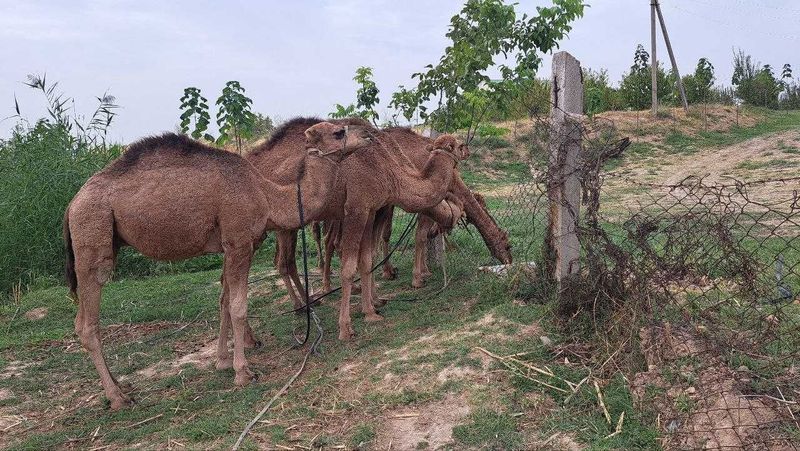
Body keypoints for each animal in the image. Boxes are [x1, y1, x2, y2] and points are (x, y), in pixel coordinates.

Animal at [63, 122, 372, 410]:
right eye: (338, 132)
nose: (368, 136)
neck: (267, 195)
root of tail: (71, 204)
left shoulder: (227, 245)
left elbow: (223, 300)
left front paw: (222, 361)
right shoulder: (239, 242)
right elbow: (238, 306)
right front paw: (243, 372)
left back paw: (120, 385)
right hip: (92, 236)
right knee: (86, 323)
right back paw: (117, 397)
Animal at [248, 118, 462, 340]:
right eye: (457, 145)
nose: (466, 150)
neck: (387, 166)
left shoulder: (371, 210)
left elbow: (366, 260)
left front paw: (371, 310)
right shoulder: (356, 209)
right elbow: (349, 267)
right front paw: (345, 327)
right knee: (281, 263)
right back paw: (295, 309)